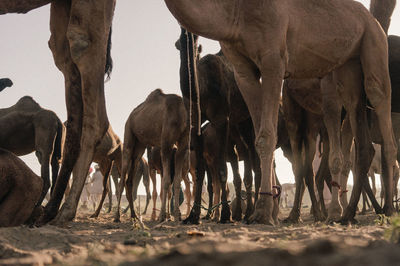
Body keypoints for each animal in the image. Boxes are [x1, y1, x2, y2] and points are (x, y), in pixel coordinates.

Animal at [114, 89, 189, 222]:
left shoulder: (182, 145)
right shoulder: (166, 145)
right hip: (128, 135)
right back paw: (117, 216)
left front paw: (177, 215)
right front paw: (162, 216)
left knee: (130, 179)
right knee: (122, 179)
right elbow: (166, 182)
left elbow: (176, 180)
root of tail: (130, 116)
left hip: (140, 146)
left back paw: (134, 215)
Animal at [165, 0, 396, 224]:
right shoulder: (243, 71)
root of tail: (372, 20)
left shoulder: (273, 59)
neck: (236, 11)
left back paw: (386, 210)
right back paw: (346, 215)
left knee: (378, 96)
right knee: (358, 125)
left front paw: (263, 213)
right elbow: (259, 140)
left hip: (373, 41)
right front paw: (262, 210)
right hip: (348, 65)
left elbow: (267, 136)